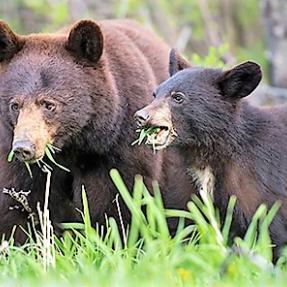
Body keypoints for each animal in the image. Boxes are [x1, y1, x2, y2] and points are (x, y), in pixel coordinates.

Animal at [0, 19, 194, 241]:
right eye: (15, 105)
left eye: (49, 104)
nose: (24, 147)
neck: (72, 146)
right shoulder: (16, 158)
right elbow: (19, 204)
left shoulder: (118, 146)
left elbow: (115, 202)